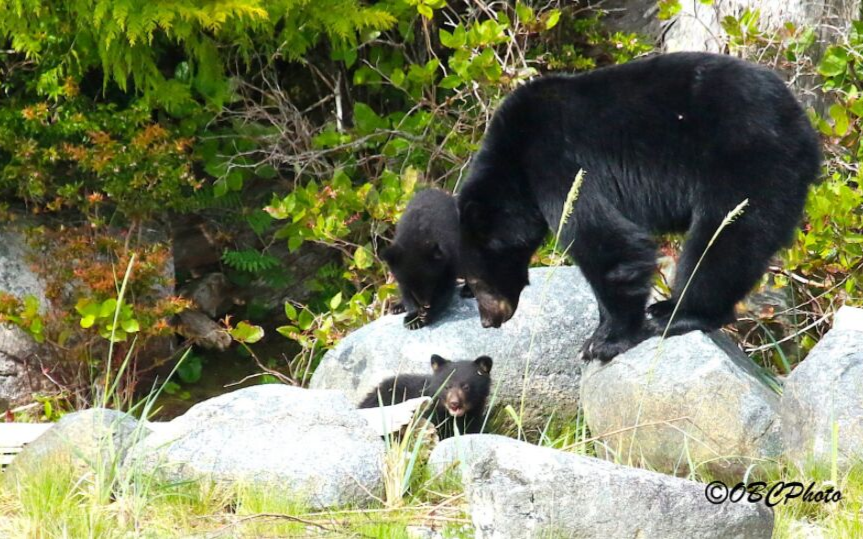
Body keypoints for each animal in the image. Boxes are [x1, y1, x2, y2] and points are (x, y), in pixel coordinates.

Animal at [381, 188, 472, 329]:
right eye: (410, 284)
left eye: (429, 281)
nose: (425, 304)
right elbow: (405, 292)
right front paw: (412, 318)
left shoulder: (449, 259)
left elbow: (445, 289)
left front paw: (427, 314)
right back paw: (397, 307)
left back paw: (468, 290)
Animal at [456, 52, 821, 362]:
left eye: (475, 280)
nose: (488, 321)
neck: (514, 157)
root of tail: (804, 128)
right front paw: (600, 330)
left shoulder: (557, 161)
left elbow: (604, 241)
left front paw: (606, 341)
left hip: (747, 161)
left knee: (725, 239)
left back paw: (678, 313)